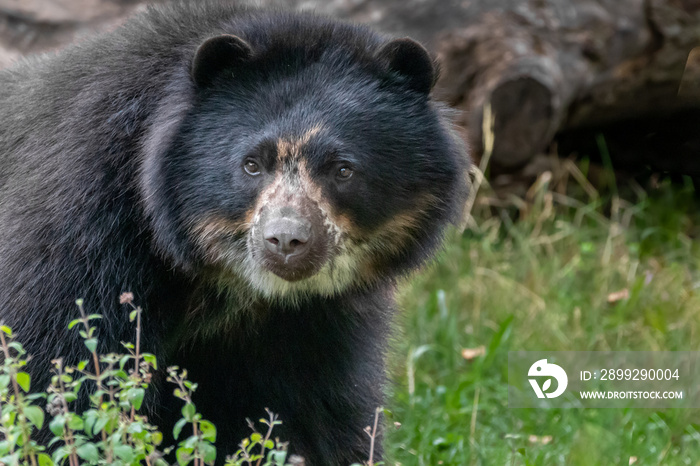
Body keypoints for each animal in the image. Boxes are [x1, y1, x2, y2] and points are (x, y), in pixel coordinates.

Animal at [0, 1, 470, 464]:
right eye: (251, 164)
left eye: (342, 169)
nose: (286, 241)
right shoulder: (82, 233)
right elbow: (59, 372)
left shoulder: (315, 319)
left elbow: (318, 405)